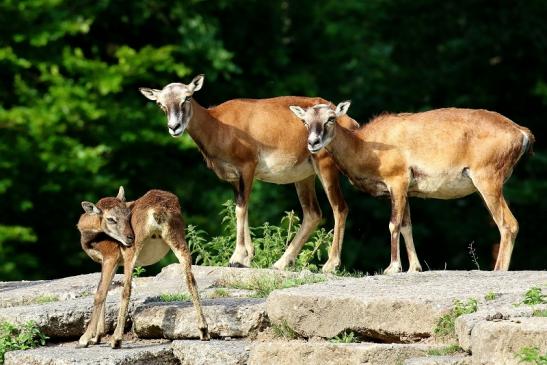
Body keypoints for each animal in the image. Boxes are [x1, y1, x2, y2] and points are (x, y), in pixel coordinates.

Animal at [79, 186, 210, 348]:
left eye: (128, 215)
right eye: (110, 219)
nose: (128, 236)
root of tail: (158, 210)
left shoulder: (111, 256)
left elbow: (100, 294)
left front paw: (85, 339)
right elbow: (104, 289)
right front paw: (96, 338)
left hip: (132, 248)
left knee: (127, 289)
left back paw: (116, 340)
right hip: (179, 238)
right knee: (191, 280)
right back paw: (204, 331)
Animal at [292, 102, 536, 272]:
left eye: (331, 118)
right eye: (305, 121)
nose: (313, 142)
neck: (365, 147)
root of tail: (521, 133)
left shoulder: (397, 180)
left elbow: (393, 224)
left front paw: (392, 268)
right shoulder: (407, 191)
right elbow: (407, 226)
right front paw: (414, 268)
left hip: (488, 178)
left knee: (508, 224)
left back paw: (498, 270)